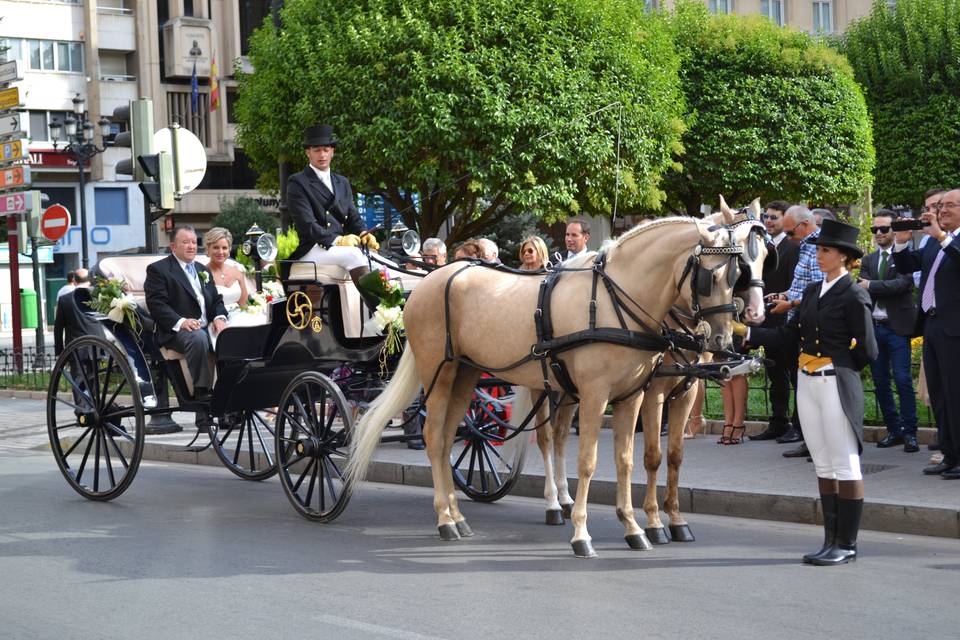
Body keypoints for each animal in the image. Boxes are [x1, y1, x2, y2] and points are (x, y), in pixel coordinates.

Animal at [348, 218, 752, 556]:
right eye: (709, 277)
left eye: (737, 275)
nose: (722, 340)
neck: (612, 301)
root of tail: (430, 282)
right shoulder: (597, 397)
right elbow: (588, 462)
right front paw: (582, 534)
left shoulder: (632, 397)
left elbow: (626, 461)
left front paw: (634, 527)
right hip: (441, 373)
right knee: (435, 438)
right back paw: (446, 519)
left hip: (466, 375)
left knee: (449, 439)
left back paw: (457, 516)